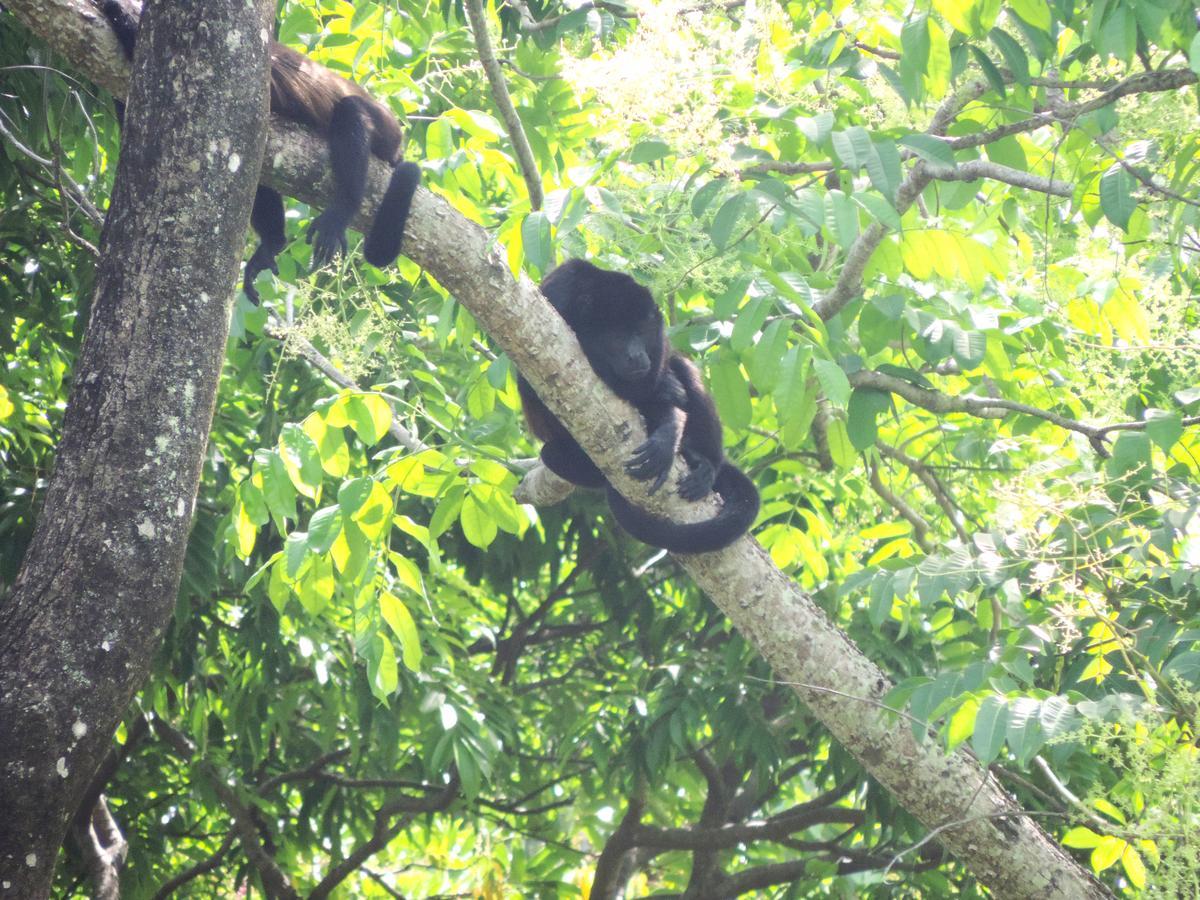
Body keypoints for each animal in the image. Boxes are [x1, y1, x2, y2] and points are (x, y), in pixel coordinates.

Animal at [516, 260, 758, 554]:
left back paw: (704, 462)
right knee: (550, 453)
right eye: (618, 337)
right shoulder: (555, 300)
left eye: (641, 332)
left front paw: (667, 431)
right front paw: (662, 391)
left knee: (685, 370)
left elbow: (667, 378)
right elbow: (533, 384)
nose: (637, 356)